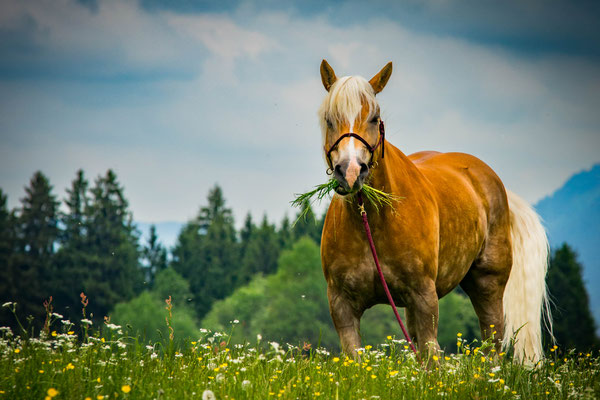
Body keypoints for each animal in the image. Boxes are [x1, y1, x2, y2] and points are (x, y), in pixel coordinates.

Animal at [318, 59, 552, 362]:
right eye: (329, 118)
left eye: (374, 117)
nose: (350, 171)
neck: (372, 223)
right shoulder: (342, 304)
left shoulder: (424, 296)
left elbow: (432, 357)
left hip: (488, 283)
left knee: (493, 341)